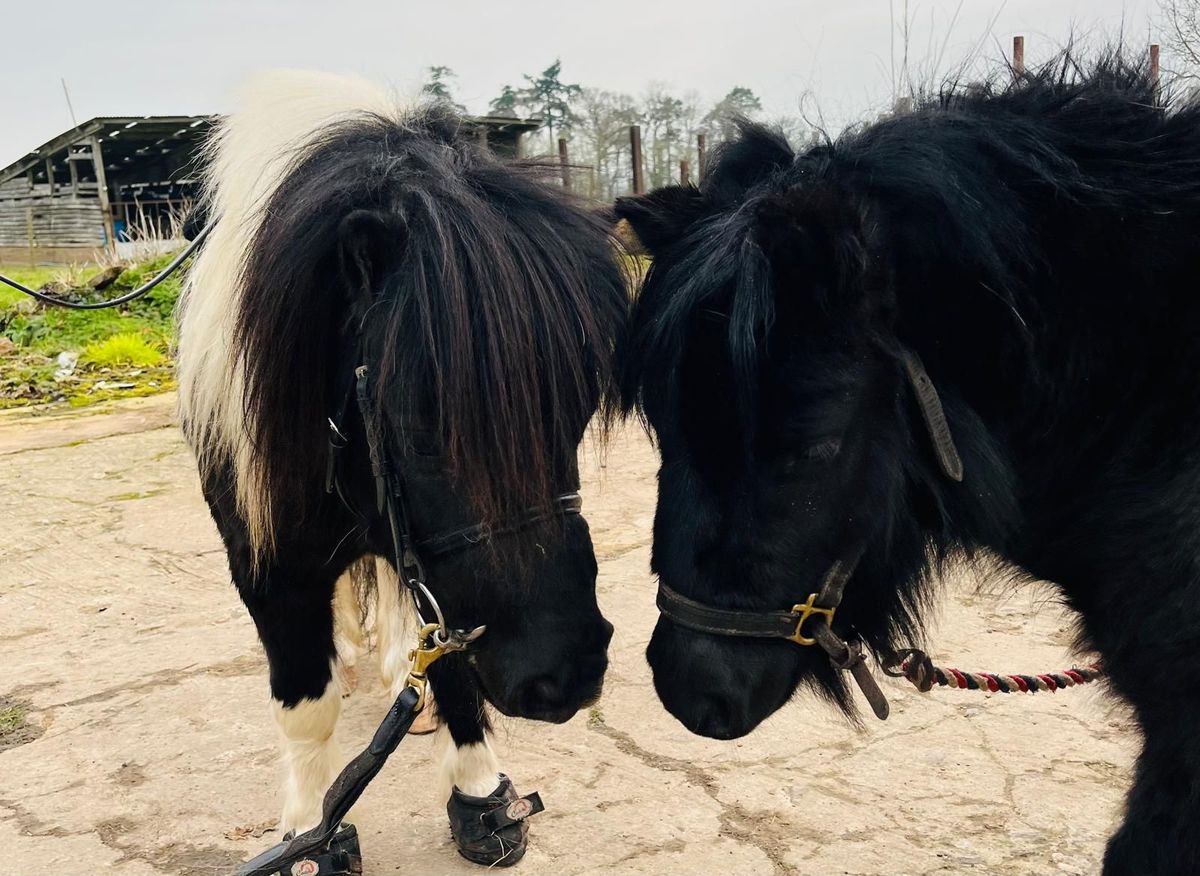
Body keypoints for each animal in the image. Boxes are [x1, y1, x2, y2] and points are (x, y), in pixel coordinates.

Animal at [180, 69, 628, 868]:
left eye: (577, 412)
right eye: (418, 425)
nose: (566, 675)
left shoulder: (437, 578)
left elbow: (450, 666)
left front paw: (481, 797)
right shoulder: (268, 567)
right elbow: (306, 706)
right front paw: (308, 835)